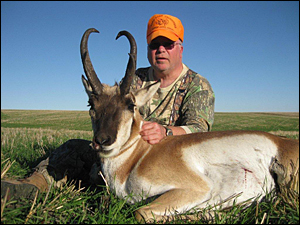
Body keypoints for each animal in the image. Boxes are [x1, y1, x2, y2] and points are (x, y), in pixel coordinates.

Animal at [81, 27, 298, 221]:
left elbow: (140, 212)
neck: (138, 156)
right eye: (91, 103)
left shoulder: (196, 189)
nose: (102, 140)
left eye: (130, 104)